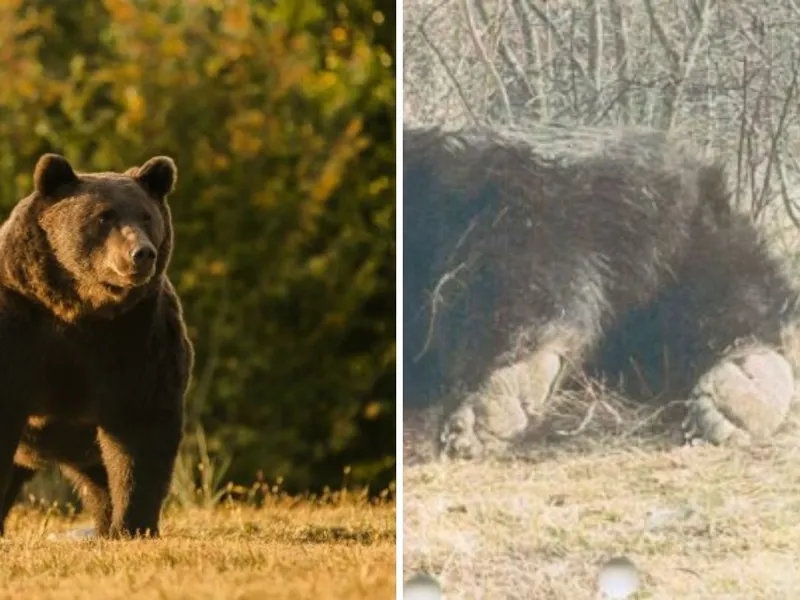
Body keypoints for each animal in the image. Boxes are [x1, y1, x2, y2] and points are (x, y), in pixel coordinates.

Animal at [0, 154, 194, 540]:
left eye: (146, 216)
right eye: (104, 216)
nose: (141, 253)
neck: (81, 306)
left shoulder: (136, 336)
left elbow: (141, 427)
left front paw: (132, 525)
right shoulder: (20, 324)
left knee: (100, 481)